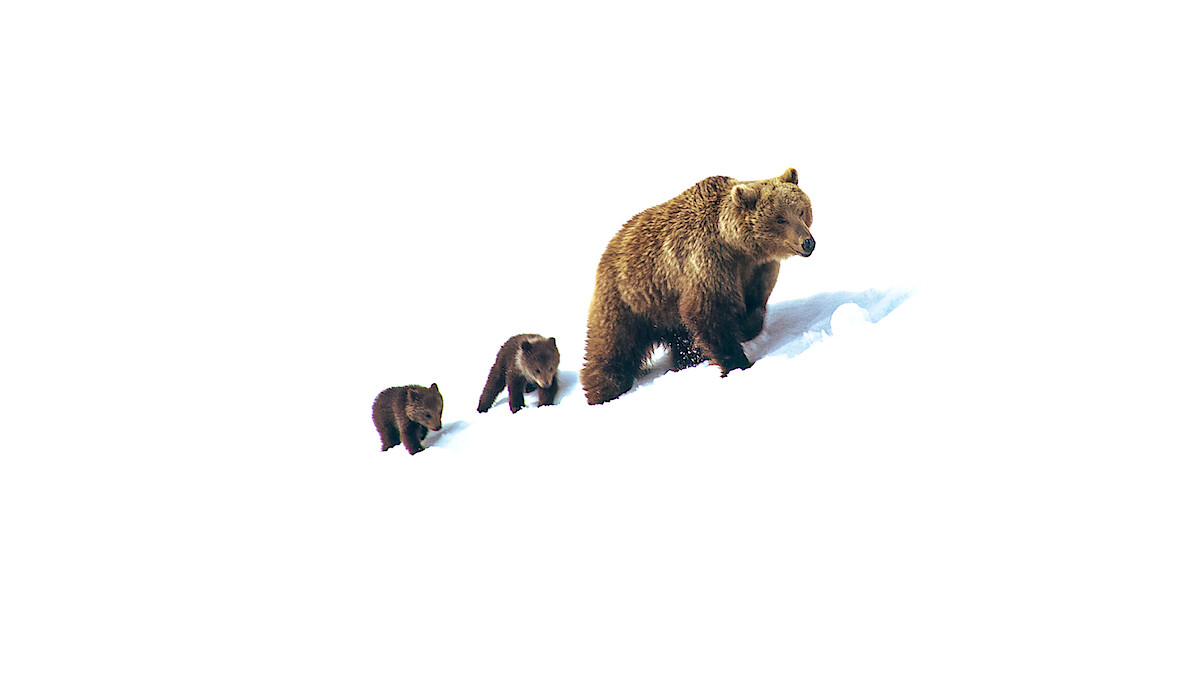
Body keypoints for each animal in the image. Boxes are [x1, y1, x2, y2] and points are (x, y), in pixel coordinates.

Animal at [580, 168, 814, 405]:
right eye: (780, 219)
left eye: (801, 211)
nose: (808, 242)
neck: (737, 246)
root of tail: (609, 247)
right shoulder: (707, 263)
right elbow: (709, 315)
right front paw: (736, 362)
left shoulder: (757, 270)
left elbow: (754, 306)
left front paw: (745, 327)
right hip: (629, 299)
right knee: (612, 347)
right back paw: (603, 391)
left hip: (666, 308)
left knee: (680, 340)